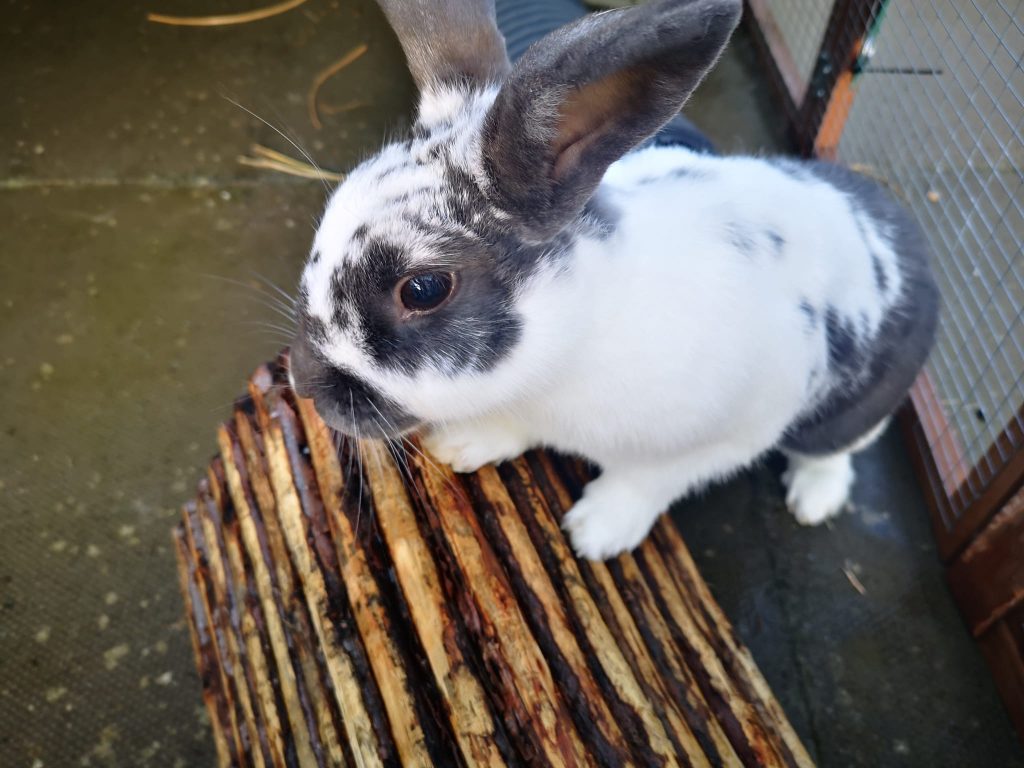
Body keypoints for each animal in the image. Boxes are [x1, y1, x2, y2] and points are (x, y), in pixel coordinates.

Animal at [288, 0, 939, 560]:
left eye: (422, 289)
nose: (305, 382)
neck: (567, 353)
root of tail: (894, 215)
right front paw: (464, 445)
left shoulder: (729, 433)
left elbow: (649, 480)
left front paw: (594, 532)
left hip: (856, 405)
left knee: (836, 450)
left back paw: (814, 500)